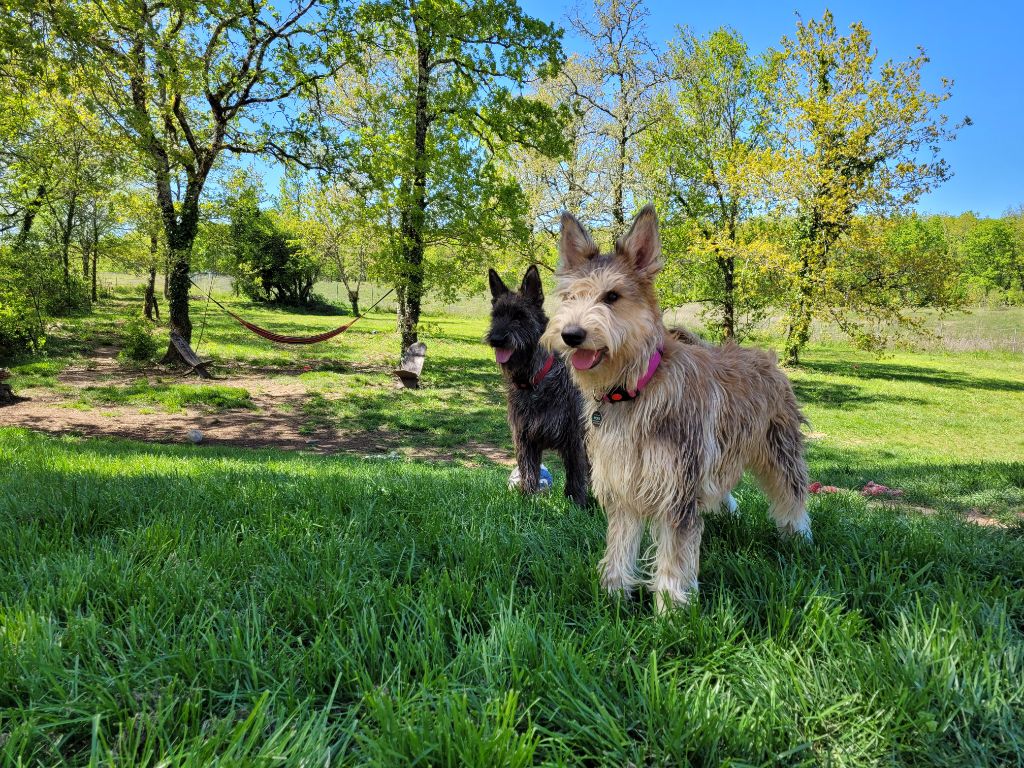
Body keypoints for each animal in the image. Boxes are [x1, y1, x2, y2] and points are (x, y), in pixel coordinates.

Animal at [489, 266, 593, 512]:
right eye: (496, 316)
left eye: (519, 316)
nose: (496, 339)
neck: (535, 380)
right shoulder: (525, 440)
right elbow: (528, 473)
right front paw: (527, 502)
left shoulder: (574, 439)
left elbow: (576, 476)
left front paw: (578, 506)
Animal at [544, 204, 806, 614]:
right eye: (570, 296)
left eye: (612, 296)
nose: (571, 334)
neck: (635, 390)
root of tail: (767, 357)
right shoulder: (624, 485)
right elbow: (620, 546)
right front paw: (614, 596)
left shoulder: (677, 490)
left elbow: (675, 556)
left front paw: (671, 612)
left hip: (780, 451)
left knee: (792, 494)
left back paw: (798, 537)